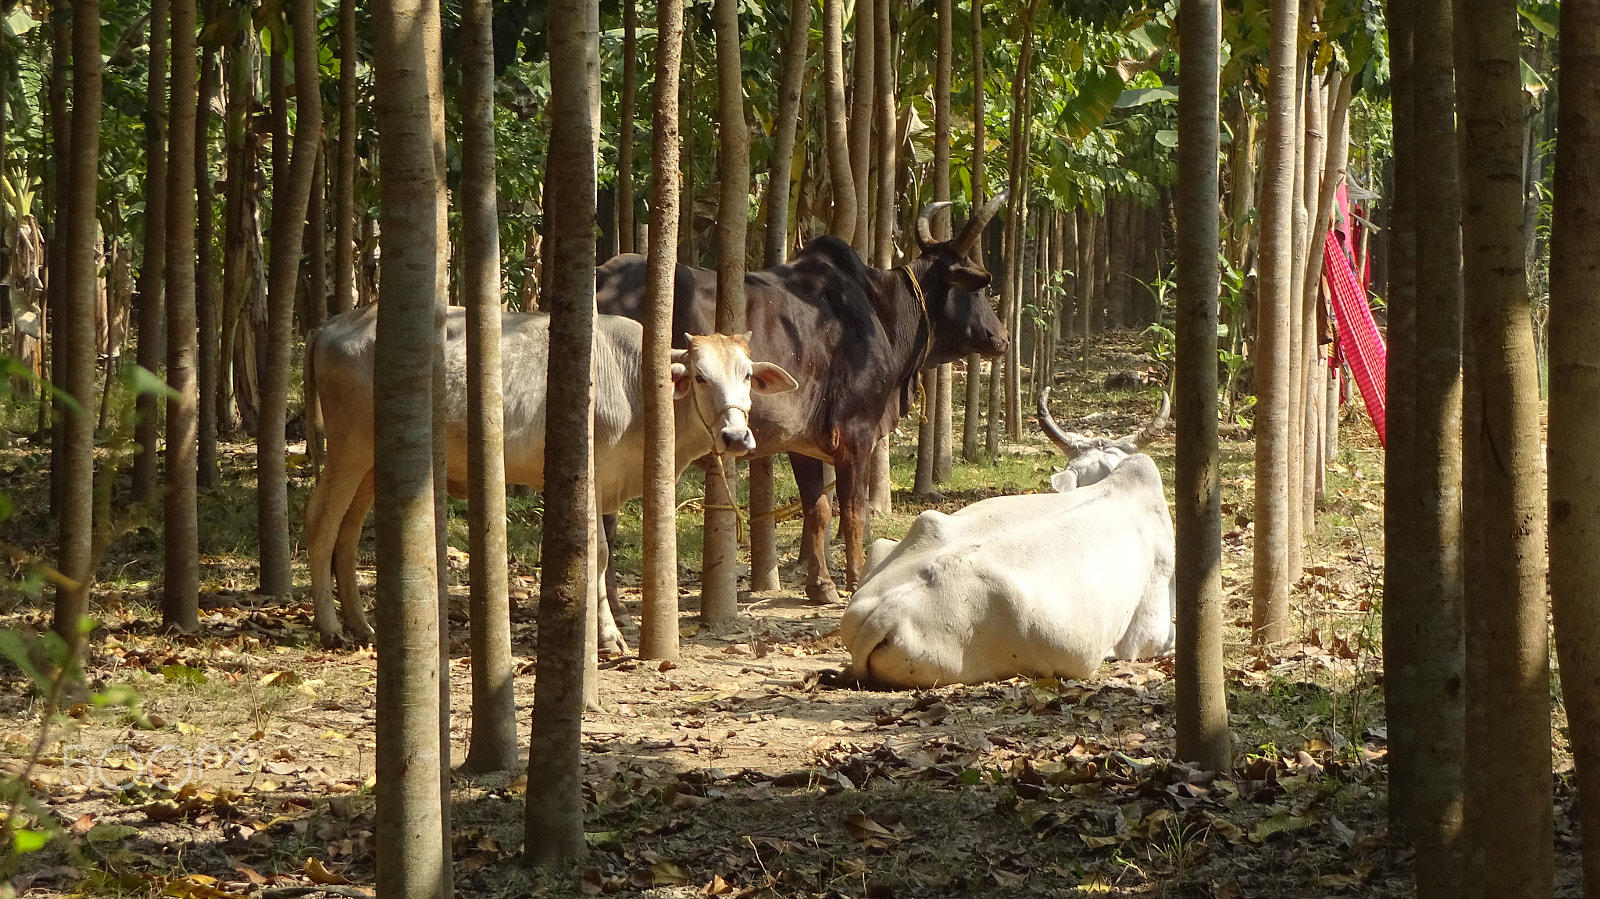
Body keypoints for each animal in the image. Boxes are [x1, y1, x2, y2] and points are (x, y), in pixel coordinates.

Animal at [302, 303, 799, 649]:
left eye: (747, 375)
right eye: (699, 377)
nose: (736, 436)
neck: (637, 382)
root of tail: (329, 325)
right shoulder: (590, 473)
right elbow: (598, 553)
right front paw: (607, 638)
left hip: (374, 462)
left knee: (348, 532)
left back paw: (362, 626)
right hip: (350, 449)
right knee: (321, 523)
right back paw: (331, 629)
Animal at [595, 194, 1010, 605]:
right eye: (977, 287)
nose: (1002, 337)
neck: (882, 312)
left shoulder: (803, 442)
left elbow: (818, 510)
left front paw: (821, 585)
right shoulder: (856, 436)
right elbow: (854, 511)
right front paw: (855, 580)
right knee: (606, 522)